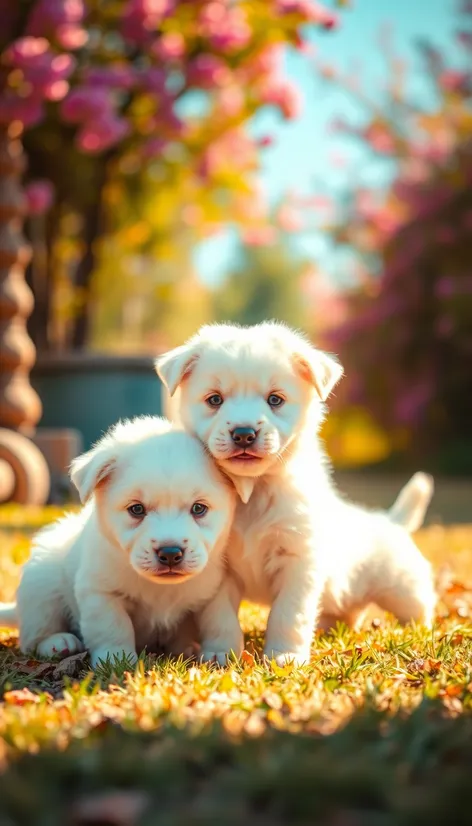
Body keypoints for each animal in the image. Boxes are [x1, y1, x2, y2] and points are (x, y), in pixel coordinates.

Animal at [0, 416, 240, 668]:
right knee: (34, 636)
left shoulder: (218, 589)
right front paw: (116, 659)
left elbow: (220, 621)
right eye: (137, 509)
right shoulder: (100, 592)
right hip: (41, 585)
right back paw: (59, 642)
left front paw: (220, 653)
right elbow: (113, 626)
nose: (170, 553)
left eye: (199, 508)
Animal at [157, 318, 436, 668]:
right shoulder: (219, 570)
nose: (244, 434)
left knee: (421, 607)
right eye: (214, 399)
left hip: (402, 587)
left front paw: (284, 656)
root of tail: (391, 520)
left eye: (275, 399)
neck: (253, 493)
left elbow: (288, 615)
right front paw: (221, 653)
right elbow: (220, 617)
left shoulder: (298, 562)